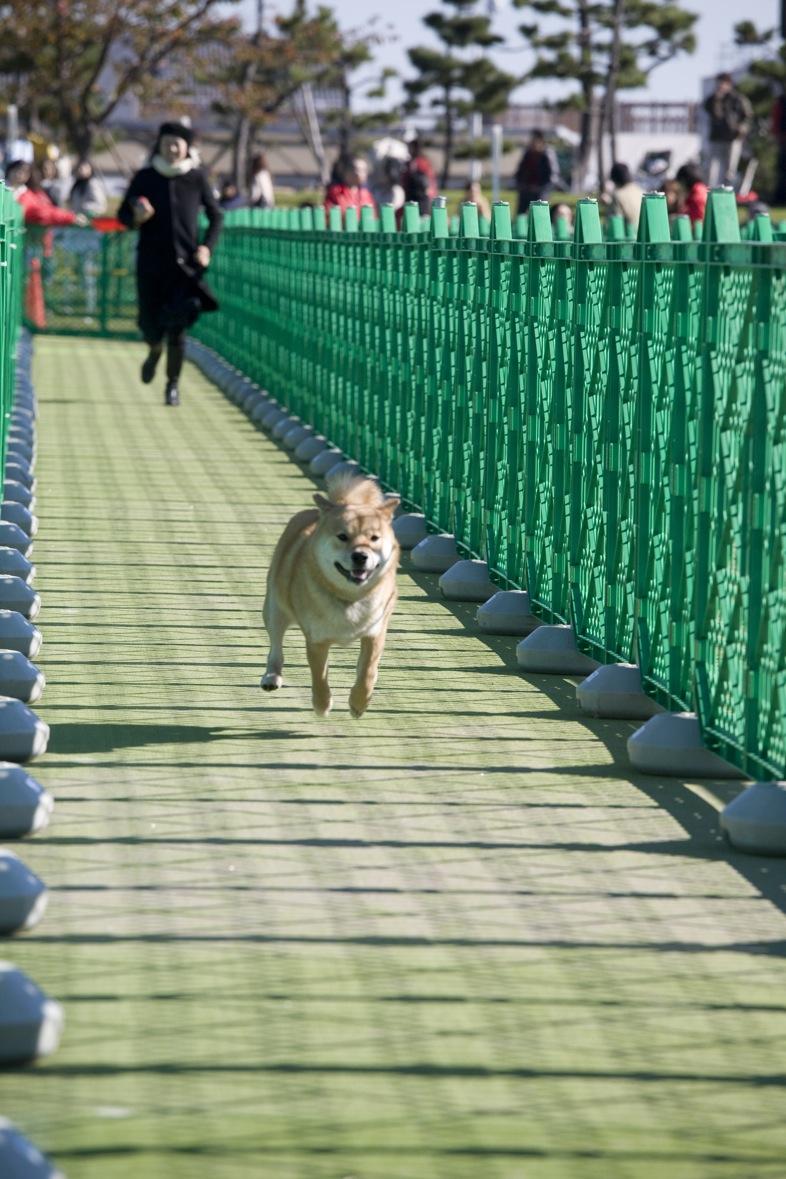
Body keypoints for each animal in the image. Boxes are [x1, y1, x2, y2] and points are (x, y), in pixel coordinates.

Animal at [261, 472, 400, 717]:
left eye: (374, 538)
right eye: (342, 537)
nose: (360, 556)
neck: (350, 598)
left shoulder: (374, 632)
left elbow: (367, 671)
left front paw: (359, 702)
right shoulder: (318, 639)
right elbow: (319, 675)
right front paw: (322, 705)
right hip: (275, 610)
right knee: (276, 646)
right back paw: (272, 675)